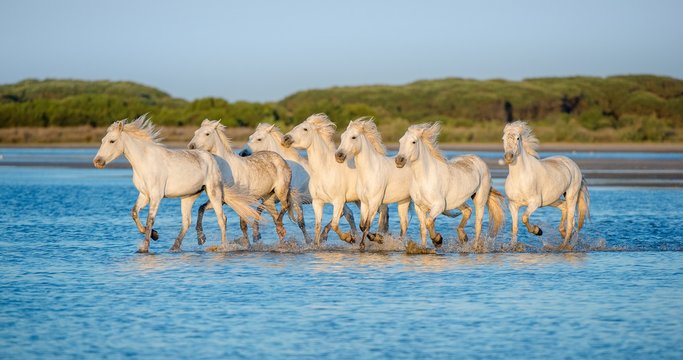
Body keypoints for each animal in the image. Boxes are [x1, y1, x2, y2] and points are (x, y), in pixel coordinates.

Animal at [93, 115, 260, 253]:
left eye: (112, 141)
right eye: (102, 141)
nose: (97, 162)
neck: (145, 162)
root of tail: (212, 158)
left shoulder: (156, 196)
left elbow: (149, 219)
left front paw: (145, 248)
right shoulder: (144, 195)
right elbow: (134, 213)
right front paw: (155, 235)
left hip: (214, 192)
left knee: (221, 218)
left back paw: (223, 247)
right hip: (188, 196)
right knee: (187, 222)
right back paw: (176, 247)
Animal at [336, 118, 412, 250]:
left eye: (353, 137)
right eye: (342, 136)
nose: (339, 156)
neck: (370, 171)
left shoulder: (374, 202)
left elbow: (367, 224)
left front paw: (366, 243)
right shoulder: (364, 202)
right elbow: (362, 225)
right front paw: (378, 238)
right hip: (404, 200)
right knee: (404, 225)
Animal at [502, 119, 592, 249]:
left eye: (518, 138)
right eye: (503, 139)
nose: (509, 157)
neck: (520, 178)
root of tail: (572, 164)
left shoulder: (534, 203)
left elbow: (524, 218)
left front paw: (538, 231)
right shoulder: (513, 205)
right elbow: (514, 228)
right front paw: (513, 246)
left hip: (571, 196)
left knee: (570, 222)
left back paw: (564, 245)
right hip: (552, 200)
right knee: (564, 208)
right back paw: (564, 234)